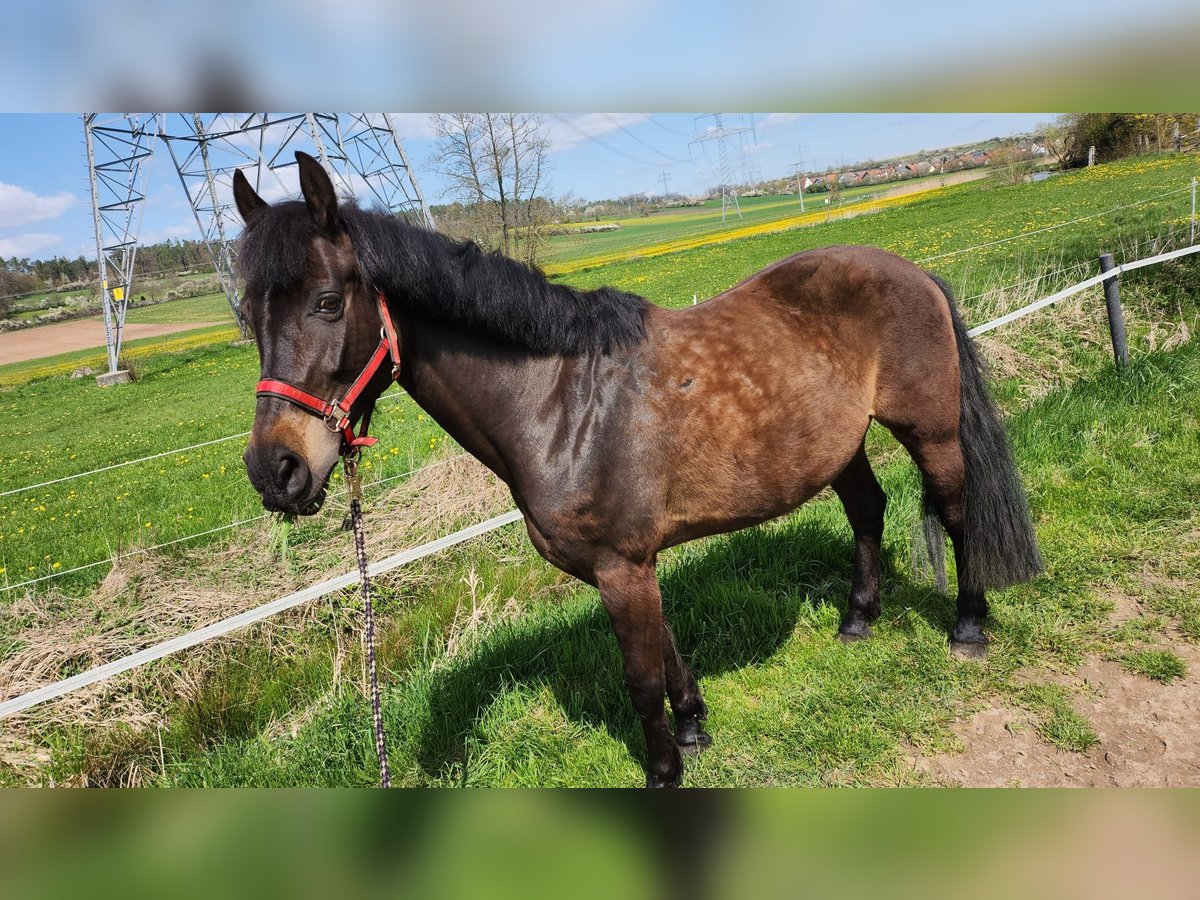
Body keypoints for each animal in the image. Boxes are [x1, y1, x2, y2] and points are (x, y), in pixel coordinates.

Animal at [234, 154, 1041, 787]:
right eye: (246, 315)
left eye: (328, 302)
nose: (276, 471)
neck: (558, 404)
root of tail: (911, 270)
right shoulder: (630, 564)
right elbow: (668, 652)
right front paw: (693, 728)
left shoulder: (622, 564)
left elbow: (641, 678)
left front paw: (663, 771)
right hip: (838, 447)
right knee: (868, 510)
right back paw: (858, 619)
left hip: (930, 431)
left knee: (956, 510)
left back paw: (969, 626)